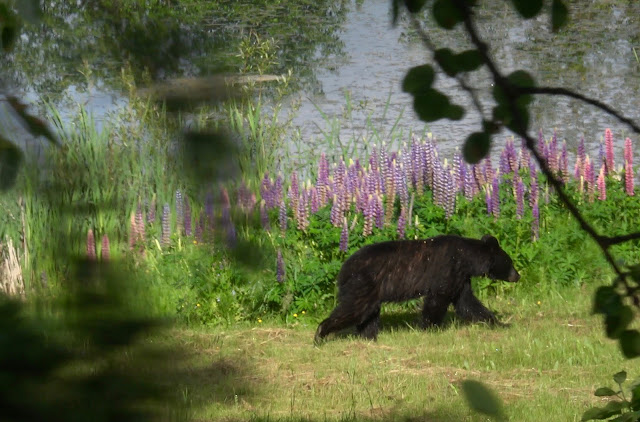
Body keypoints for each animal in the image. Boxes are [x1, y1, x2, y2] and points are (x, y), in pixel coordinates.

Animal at [314, 234, 520, 344]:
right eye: (510, 262)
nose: (517, 276)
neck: (467, 258)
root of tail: (344, 269)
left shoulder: (461, 279)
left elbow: (467, 303)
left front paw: (500, 323)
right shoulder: (447, 270)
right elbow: (437, 300)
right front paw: (429, 327)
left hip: (370, 292)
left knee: (368, 315)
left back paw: (369, 337)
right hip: (363, 284)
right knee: (354, 310)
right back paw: (321, 334)